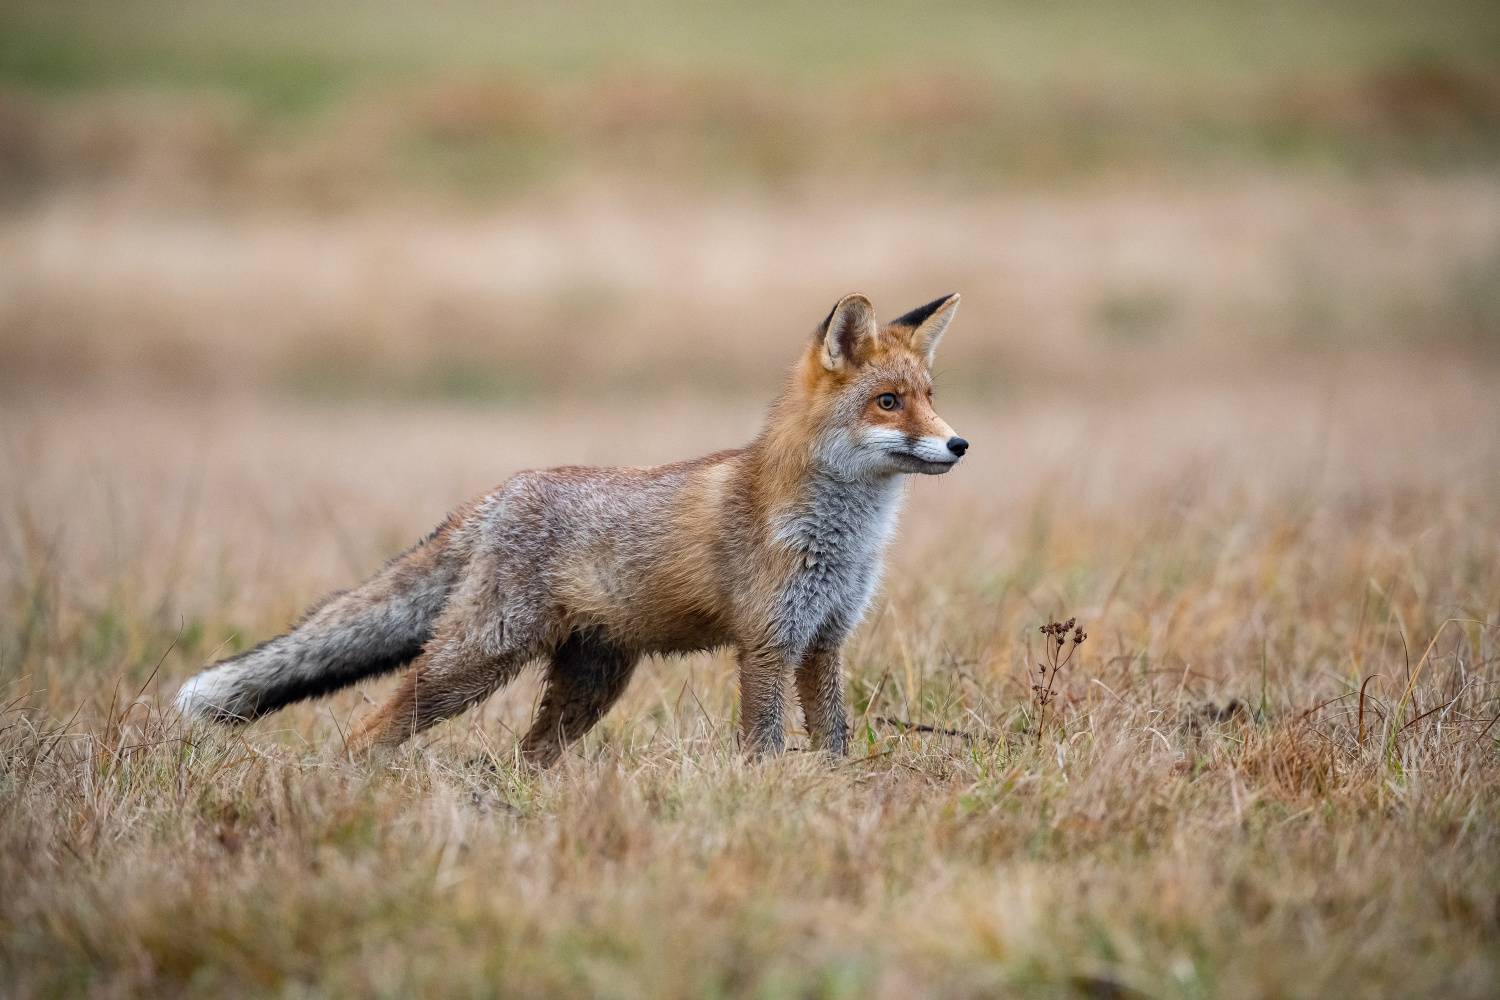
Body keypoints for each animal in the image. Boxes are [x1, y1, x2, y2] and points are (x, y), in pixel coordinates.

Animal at [175, 293, 966, 761]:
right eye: (889, 402)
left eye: (930, 397)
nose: (959, 445)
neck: (843, 539)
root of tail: (499, 492)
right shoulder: (769, 642)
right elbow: (765, 742)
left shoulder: (824, 641)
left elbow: (833, 737)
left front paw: (835, 794)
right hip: (477, 659)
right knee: (374, 726)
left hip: (588, 686)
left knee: (528, 755)